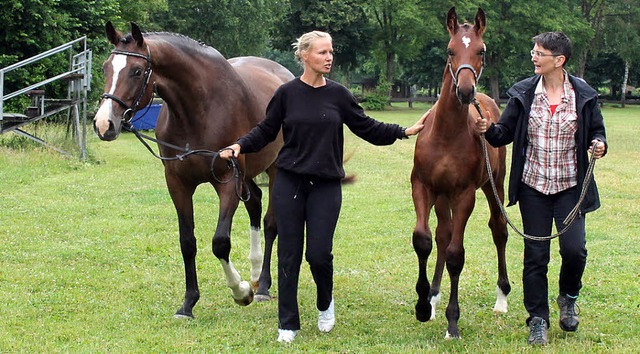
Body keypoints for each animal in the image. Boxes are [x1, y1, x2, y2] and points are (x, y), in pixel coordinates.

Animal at [92, 23, 292, 320]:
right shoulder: (178, 184)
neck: (200, 109)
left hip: (274, 169)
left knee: (270, 224)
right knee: (255, 203)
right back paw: (255, 273)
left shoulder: (226, 182)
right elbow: (187, 242)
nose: (104, 124)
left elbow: (220, 242)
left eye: (137, 71)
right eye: (106, 68)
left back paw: (263, 285)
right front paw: (188, 303)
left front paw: (241, 291)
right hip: (247, 177)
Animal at [416, 8, 510, 338]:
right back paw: (433, 296)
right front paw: (422, 305)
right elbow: (424, 240)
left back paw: (502, 298)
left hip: (494, 185)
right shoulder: (423, 186)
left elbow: (457, 255)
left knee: (499, 229)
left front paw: (452, 323)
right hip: (442, 196)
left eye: (481, 50)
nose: (466, 90)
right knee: (442, 235)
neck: (445, 134)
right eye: (450, 50)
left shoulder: (465, 194)